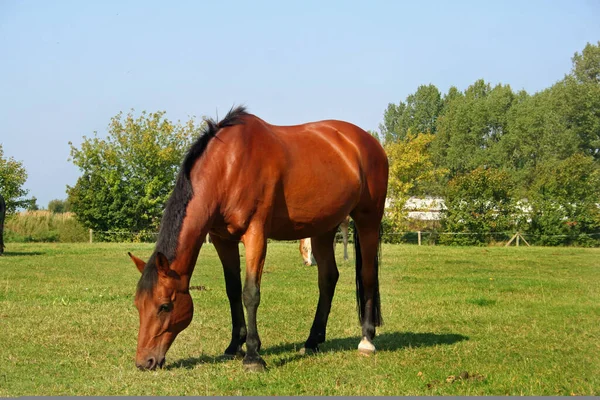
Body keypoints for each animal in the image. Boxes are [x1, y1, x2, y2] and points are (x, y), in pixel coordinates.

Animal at [128, 106, 386, 372]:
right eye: (138, 304)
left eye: (165, 306)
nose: (144, 361)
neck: (228, 166)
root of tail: (366, 142)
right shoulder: (223, 240)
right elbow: (232, 290)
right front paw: (234, 345)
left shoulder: (256, 234)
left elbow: (250, 293)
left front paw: (253, 355)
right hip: (323, 227)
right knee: (328, 278)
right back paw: (312, 341)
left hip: (368, 220)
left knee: (367, 275)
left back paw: (366, 340)